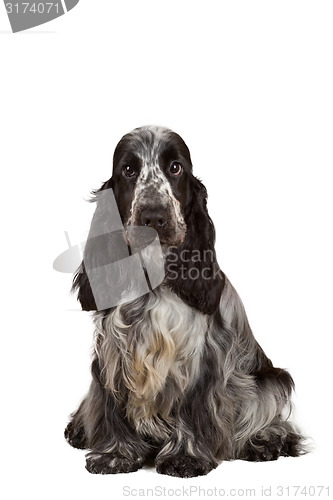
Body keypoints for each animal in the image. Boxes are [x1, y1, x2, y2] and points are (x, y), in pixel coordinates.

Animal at [63, 125, 304, 476]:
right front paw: (115, 454)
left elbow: (193, 407)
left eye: (175, 167)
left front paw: (185, 457)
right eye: (128, 169)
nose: (154, 217)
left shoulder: (202, 357)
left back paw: (266, 442)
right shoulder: (112, 351)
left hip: (271, 380)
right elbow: (111, 406)